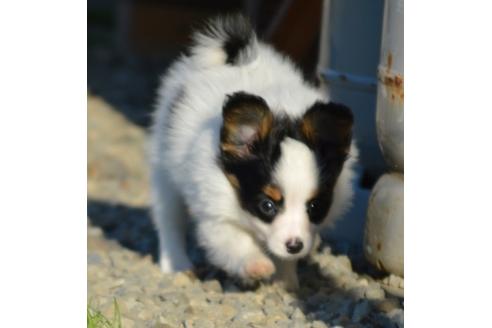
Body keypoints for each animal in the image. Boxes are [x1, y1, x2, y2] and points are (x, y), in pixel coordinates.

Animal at [150, 14, 358, 290]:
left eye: (315, 206)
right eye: (267, 205)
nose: (295, 246)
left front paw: (286, 280)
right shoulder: (216, 214)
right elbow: (235, 242)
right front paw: (257, 266)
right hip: (164, 167)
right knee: (168, 218)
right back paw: (176, 263)